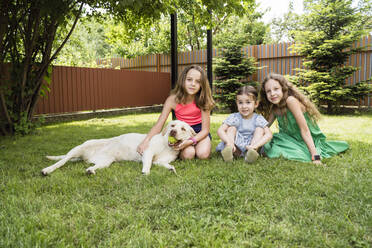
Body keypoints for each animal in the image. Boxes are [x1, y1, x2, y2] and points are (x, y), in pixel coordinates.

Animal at [41, 119, 196, 174]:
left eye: (183, 129)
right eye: (172, 125)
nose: (172, 132)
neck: (166, 145)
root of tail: (85, 157)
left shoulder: (160, 161)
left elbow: (165, 164)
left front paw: (170, 168)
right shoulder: (147, 152)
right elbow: (147, 164)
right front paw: (145, 171)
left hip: (105, 162)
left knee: (92, 166)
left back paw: (91, 170)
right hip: (78, 149)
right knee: (62, 161)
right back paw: (48, 169)